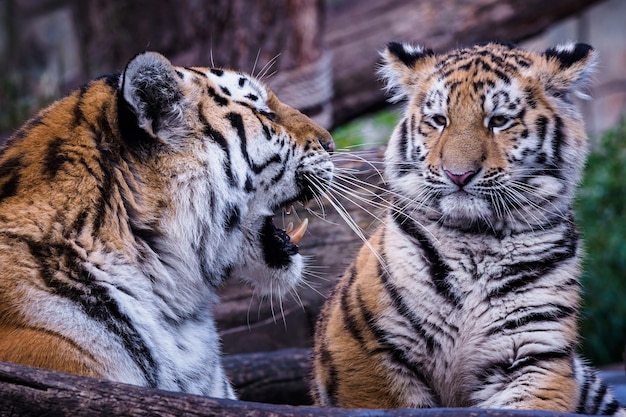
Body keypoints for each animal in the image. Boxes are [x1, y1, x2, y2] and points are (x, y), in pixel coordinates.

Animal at [312, 40, 624, 414]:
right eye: (439, 120)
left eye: (499, 121)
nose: (458, 174)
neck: (477, 240)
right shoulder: (367, 355)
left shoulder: (536, 353)